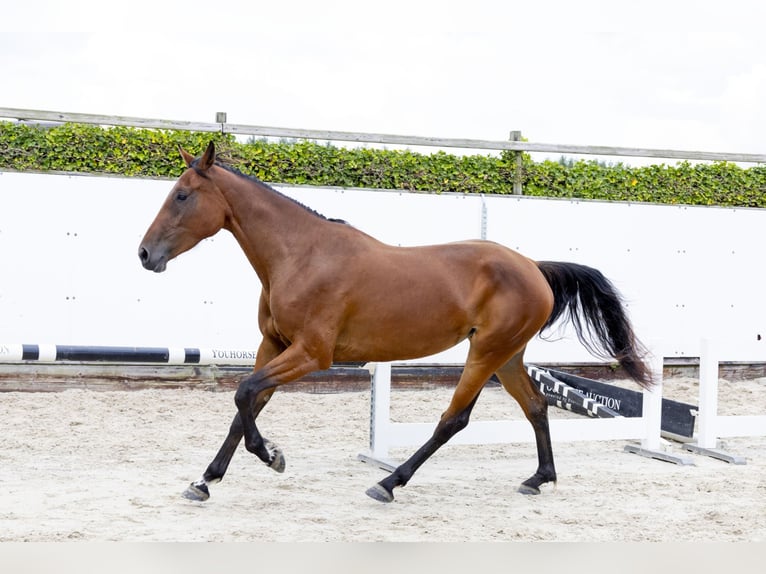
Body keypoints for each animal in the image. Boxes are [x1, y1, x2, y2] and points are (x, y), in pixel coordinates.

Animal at [138, 143, 656, 504]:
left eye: (182, 195)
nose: (145, 254)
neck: (301, 256)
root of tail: (534, 267)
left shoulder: (311, 354)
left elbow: (245, 394)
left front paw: (273, 457)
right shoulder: (273, 346)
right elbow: (247, 402)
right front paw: (204, 481)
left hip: (485, 352)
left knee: (454, 420)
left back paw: (389, 483)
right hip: (507, 356)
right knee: (536, 405)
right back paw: (538, 479)